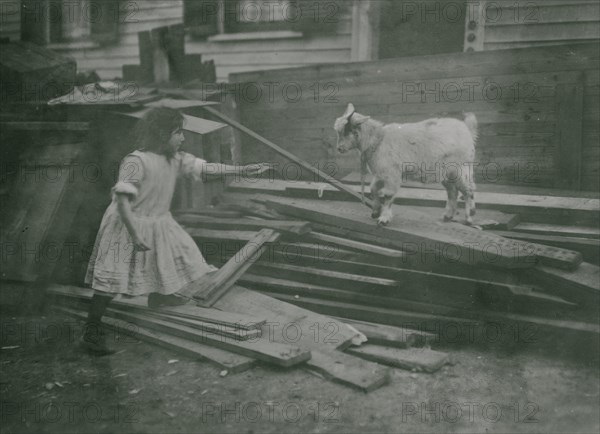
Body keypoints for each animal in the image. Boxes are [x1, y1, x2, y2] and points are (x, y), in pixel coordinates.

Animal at [332, 104, 478, 225]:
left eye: (347, 131)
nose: (339, 149)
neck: (378, 140)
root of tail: (467, 129)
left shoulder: (392, 174)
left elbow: (388, 195)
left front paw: (384, 218)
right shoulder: (381, 174)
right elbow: (373, 189)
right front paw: (375, 211)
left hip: (460, 169)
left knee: (468, 190)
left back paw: (469, 217)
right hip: (446, 174)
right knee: (452, 191)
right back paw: (448, 216)